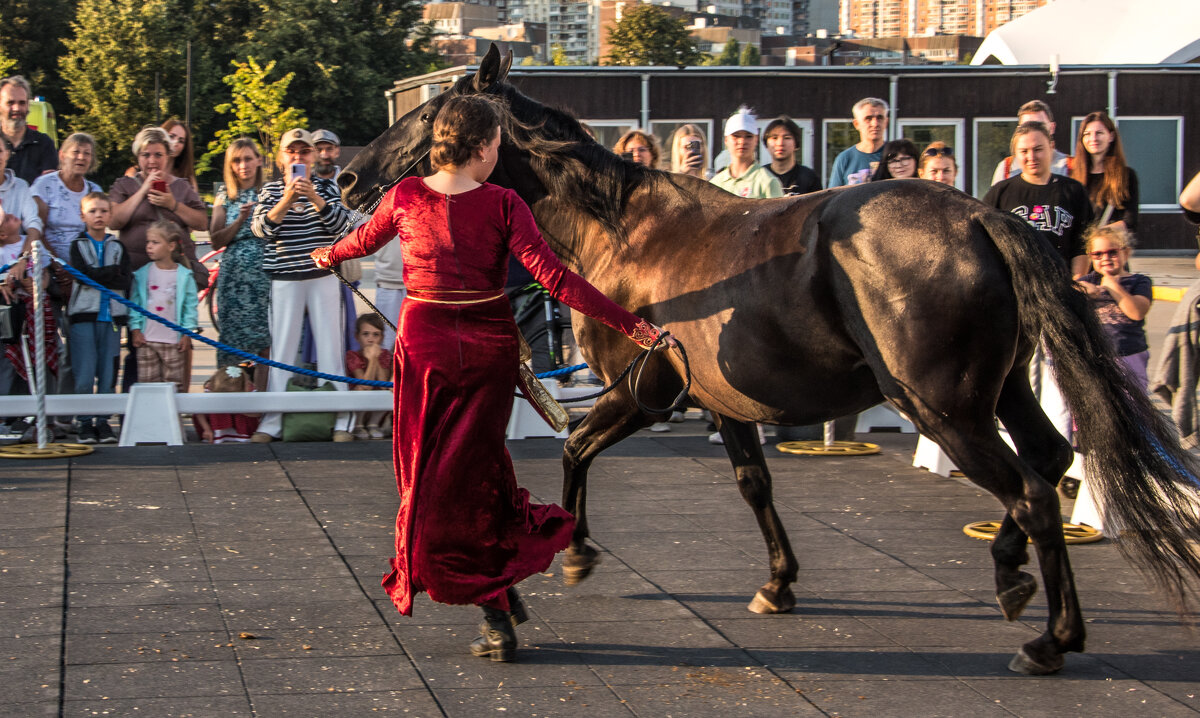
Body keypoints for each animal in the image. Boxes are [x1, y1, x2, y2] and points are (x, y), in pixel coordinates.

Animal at [338, 47, 1200, 677]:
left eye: (427, 113)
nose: (346, 176)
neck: (621, 230)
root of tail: (984, 218)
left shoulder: (645, 390)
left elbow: (578, 446)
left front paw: (577, 552)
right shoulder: (725, 402)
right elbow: (755, 483)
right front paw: (778, 583)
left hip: (946, 408)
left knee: (1030, 490)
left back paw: (1046, 631)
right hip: (1004, 389)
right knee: (1050, 461)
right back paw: (1019, 582)